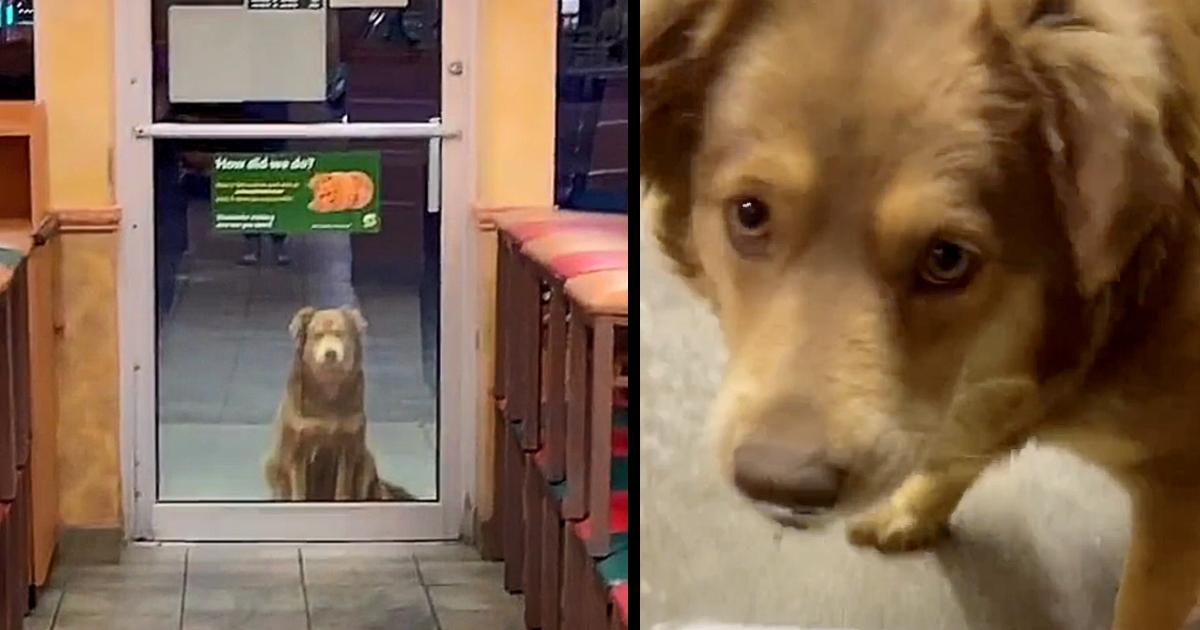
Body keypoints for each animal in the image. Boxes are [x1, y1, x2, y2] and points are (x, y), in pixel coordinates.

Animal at [265, 304, 415, 501]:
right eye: (318, 335)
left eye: (340, 334)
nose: (330, 353)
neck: (329, 390)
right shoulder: (298, 450)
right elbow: (299, 490)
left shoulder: (348, 447)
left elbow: (342, 488)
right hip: (272, 464)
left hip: (366, 460)